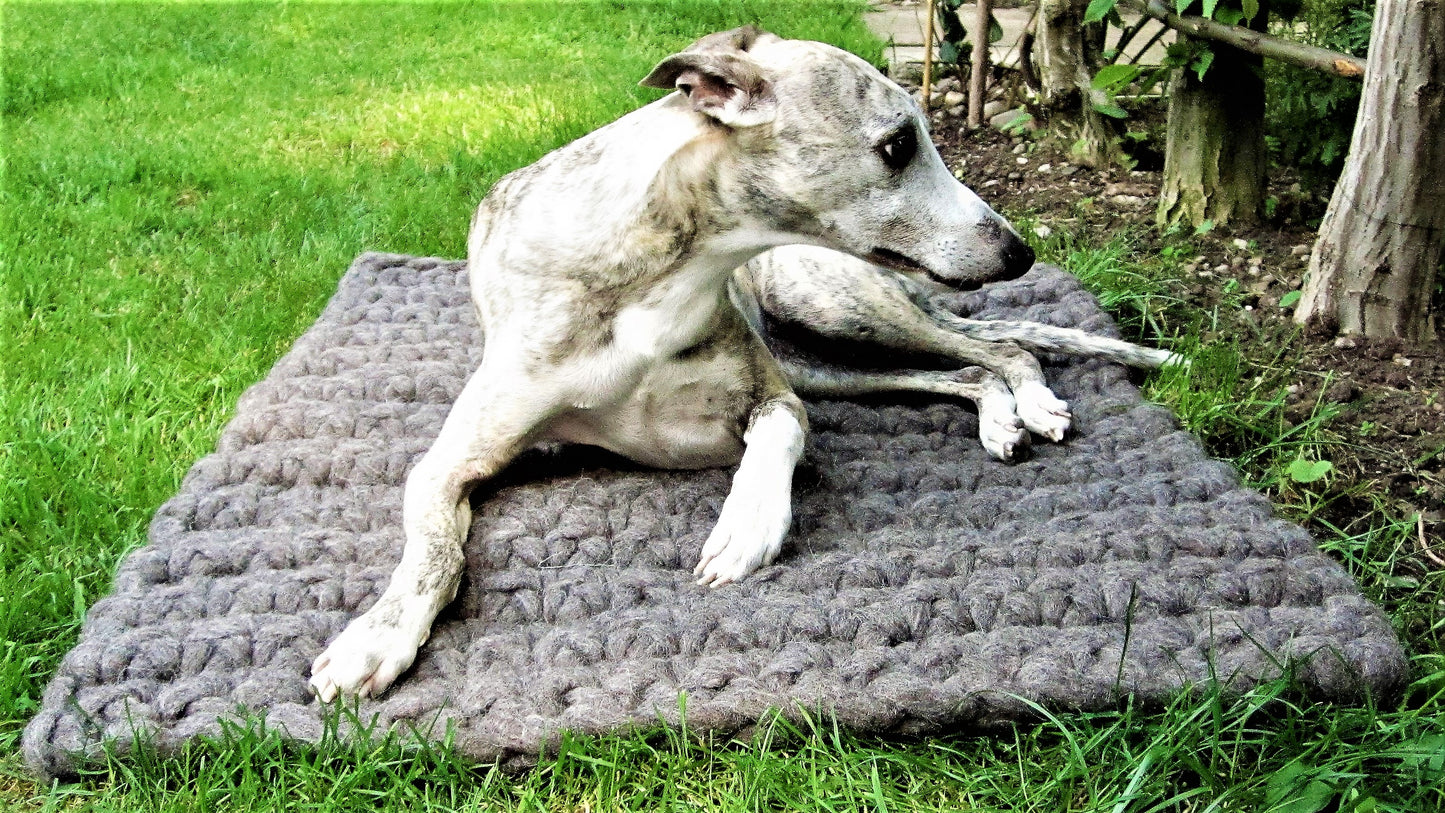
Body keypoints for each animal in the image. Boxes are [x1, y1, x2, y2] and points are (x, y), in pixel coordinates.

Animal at [310, 25, 1179, 698]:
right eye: (897, 145)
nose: (1018, 252)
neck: (650, 272)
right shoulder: (452, 460)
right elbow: (433, 548)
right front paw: (375, 636)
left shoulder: (772, 398)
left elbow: (777, 439)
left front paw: (745, 527)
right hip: (830, 355)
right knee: (969, 369)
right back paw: (1001, 417)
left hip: (838, 308)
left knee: (1002, 345)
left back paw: (1032, 405)